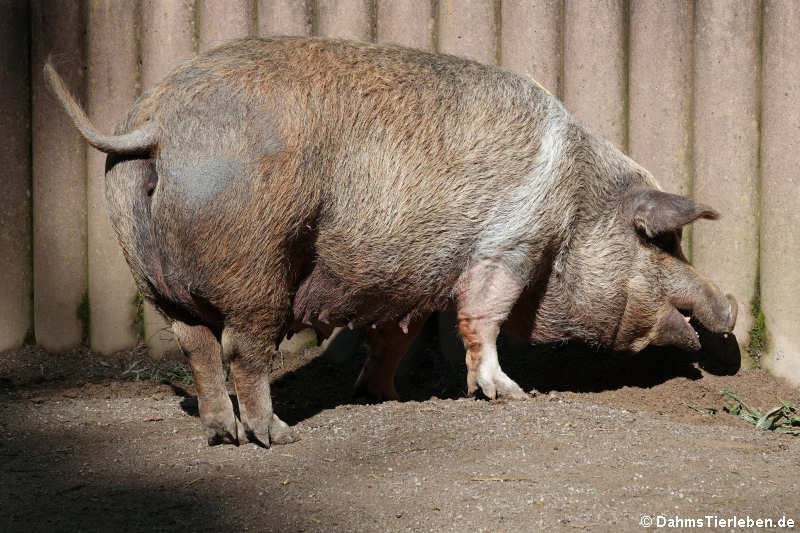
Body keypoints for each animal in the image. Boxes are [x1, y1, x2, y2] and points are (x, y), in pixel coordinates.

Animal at [45, 37, 737, 448]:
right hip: (255, 260)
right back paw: (278, 436)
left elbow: (396, 338)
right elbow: (483, 318)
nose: (730, 306)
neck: (577, 201)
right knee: (242, 349)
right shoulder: (511, 245)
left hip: (145, 267)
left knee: (194, 346)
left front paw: (382, 395)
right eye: (664, 242)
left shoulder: (406, 284)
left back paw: (222, 436)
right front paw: (510, 394)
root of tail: (158, 124)